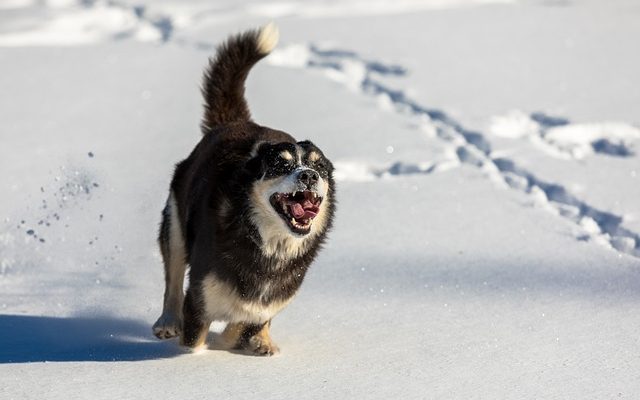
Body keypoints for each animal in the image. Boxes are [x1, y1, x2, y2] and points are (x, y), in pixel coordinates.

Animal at [153, 24, 338, 356]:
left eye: (320, 167)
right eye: (280, 165)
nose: (309, 176)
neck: (270, 246)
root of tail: (235, 123)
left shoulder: (272, 298)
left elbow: (247, 320)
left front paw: (247, 339)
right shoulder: (199, 298)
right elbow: (196, 339)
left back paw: (262, 341)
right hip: (175, 225)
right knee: (172, 280)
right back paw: (167, 321)